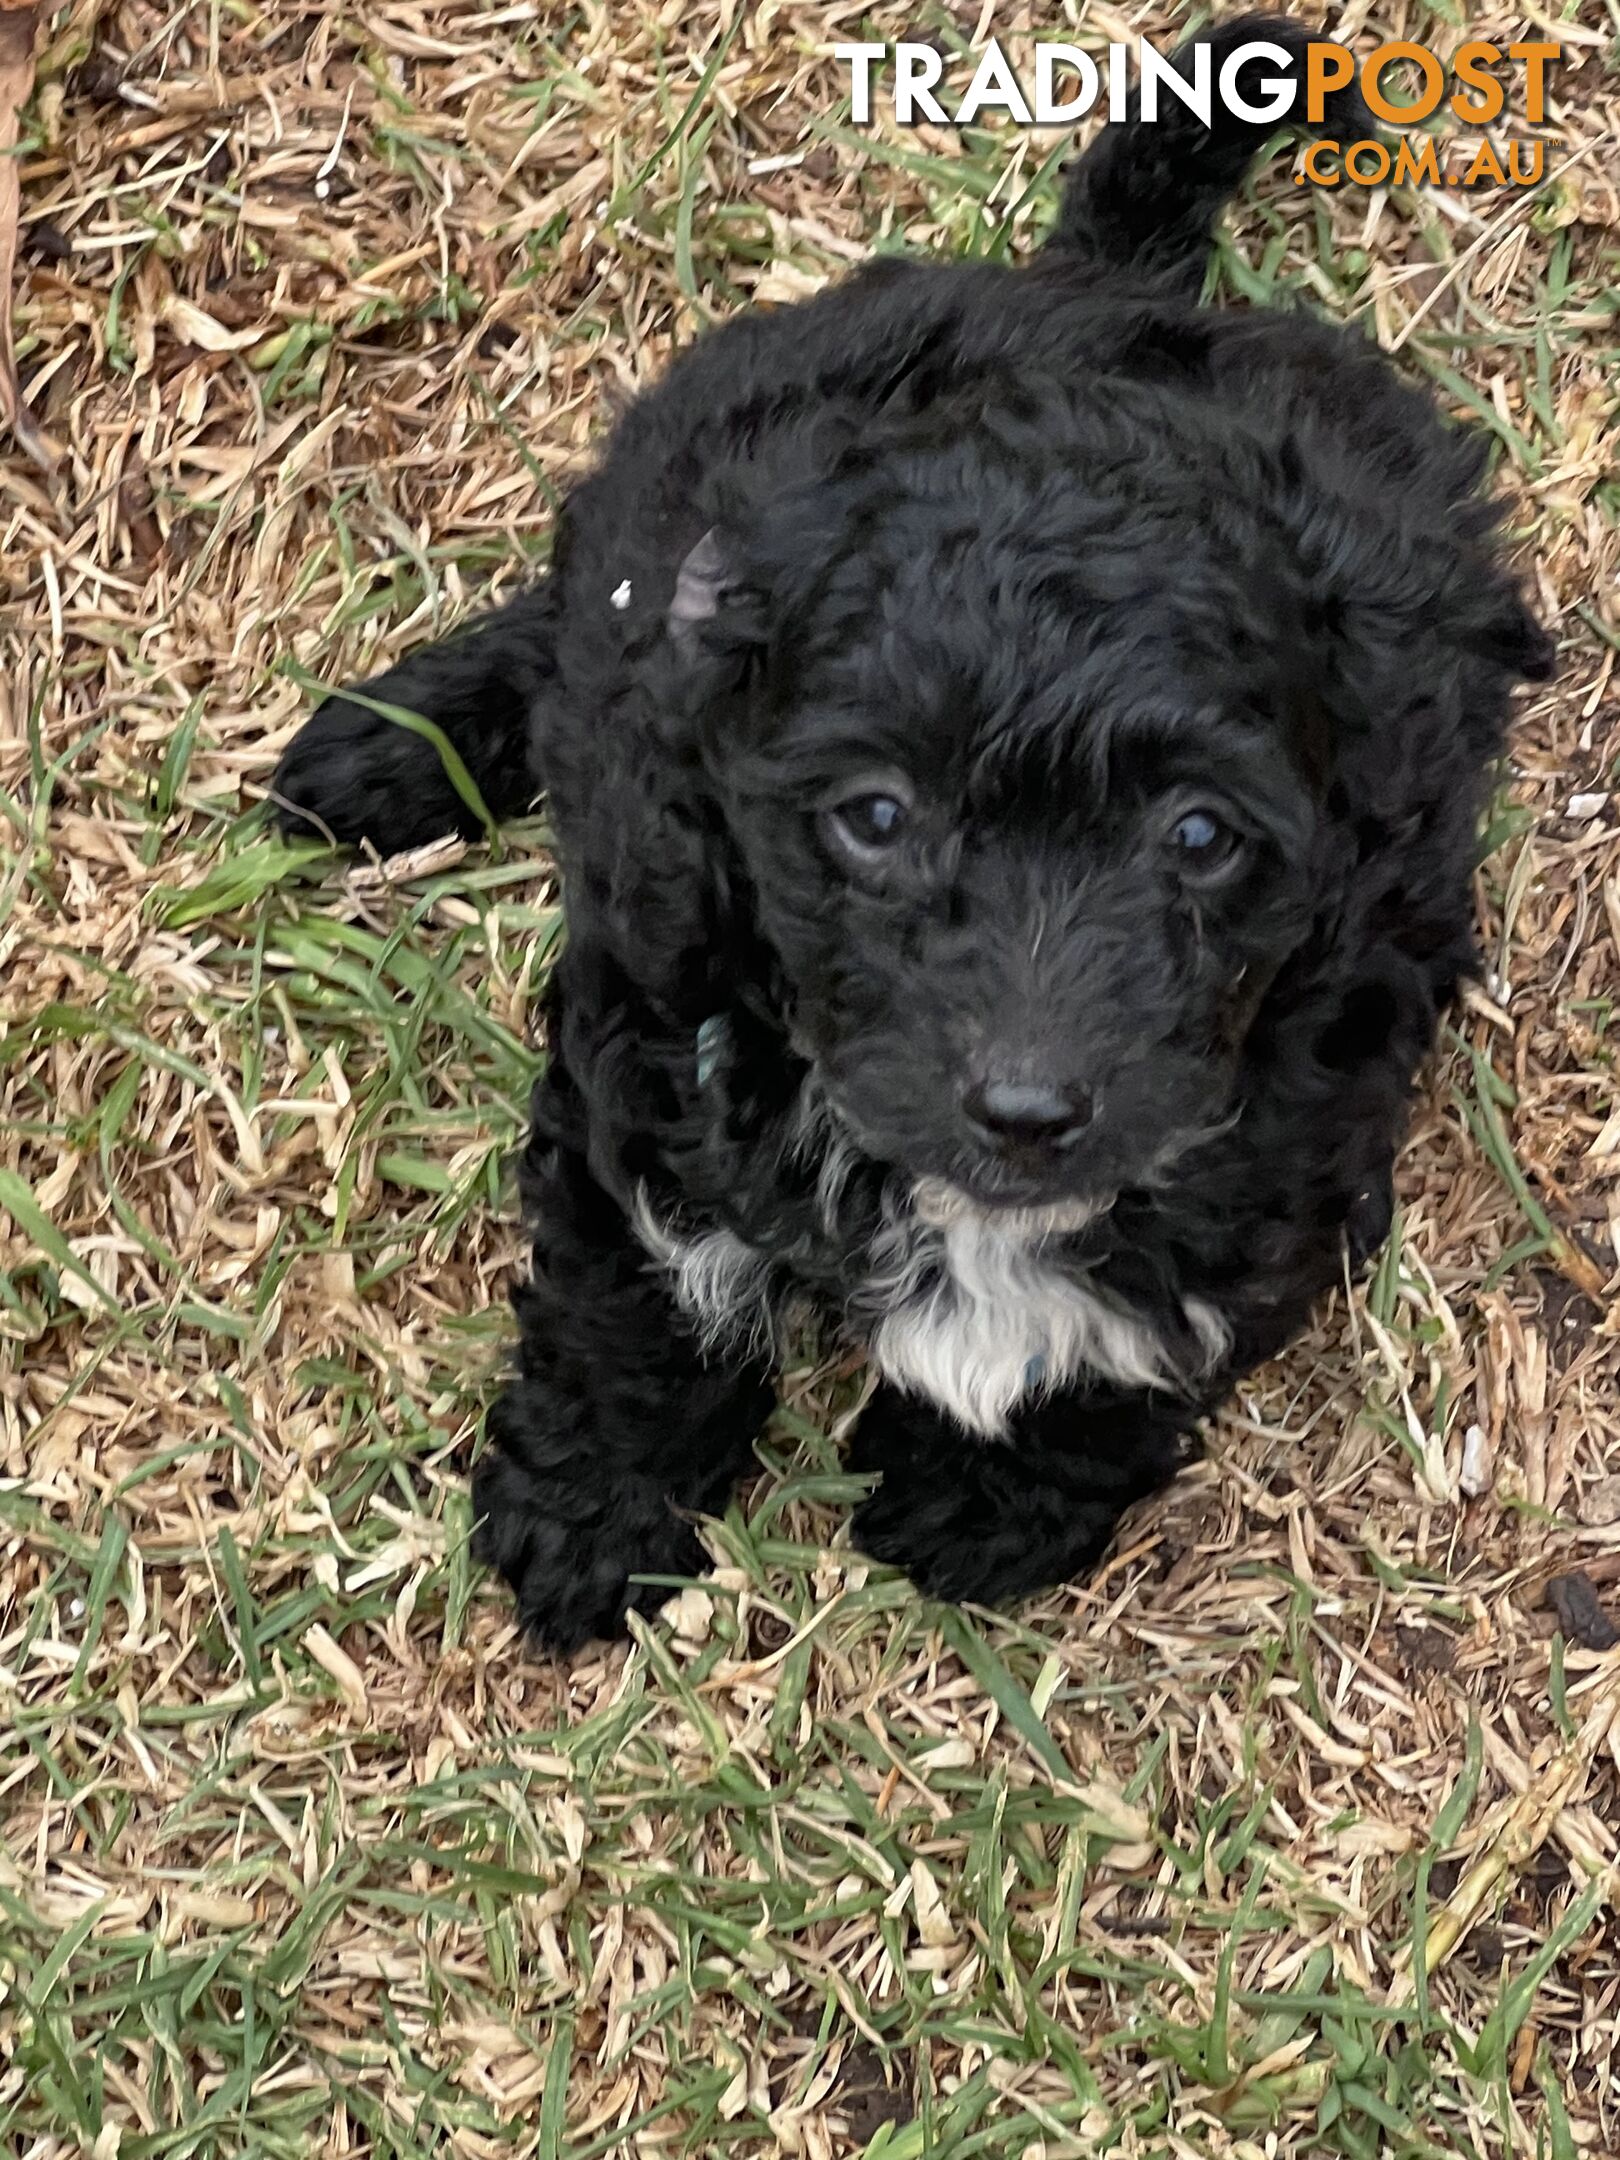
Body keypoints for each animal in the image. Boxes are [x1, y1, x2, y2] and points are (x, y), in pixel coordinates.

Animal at [278, 16, 1563, 1641]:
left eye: (1201, 837)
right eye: (875, 818)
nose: (1025, 1113)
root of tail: (1099, 286)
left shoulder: (1317, 1075)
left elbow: (1155, 1309)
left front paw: (984, 1493)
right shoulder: (650, 1013)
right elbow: (634, 1279)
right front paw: (591, 1509)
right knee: (564, 618)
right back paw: (385, 751)